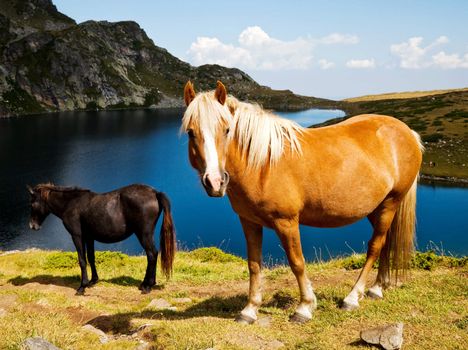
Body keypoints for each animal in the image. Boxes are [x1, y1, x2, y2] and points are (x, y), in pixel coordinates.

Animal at [27, 185, 177, 294]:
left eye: (32, 204)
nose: (32, 226)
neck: (71, 204)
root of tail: (155, 193)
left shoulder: (77, 236)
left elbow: (82, 260)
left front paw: (82, 286)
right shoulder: (89, 237)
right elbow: (91, 257)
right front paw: (93, 280)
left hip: (143, 234)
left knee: (152, 254)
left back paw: (148, 286)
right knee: (152, 255)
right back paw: (146, 284)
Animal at [181, 80, 422, 324]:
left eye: (227, 130)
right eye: (191, 133)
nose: (215, 182)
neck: (263, 164)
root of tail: (406, 131)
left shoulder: (286, 222)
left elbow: (297, 262)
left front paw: (304, 307)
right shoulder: (249, 221)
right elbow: (254, 264)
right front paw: (249, 310)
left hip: (390, 203)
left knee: (375, 246)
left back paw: (353, 297)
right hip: (376, 208)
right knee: (386, 242)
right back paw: (377, 288)